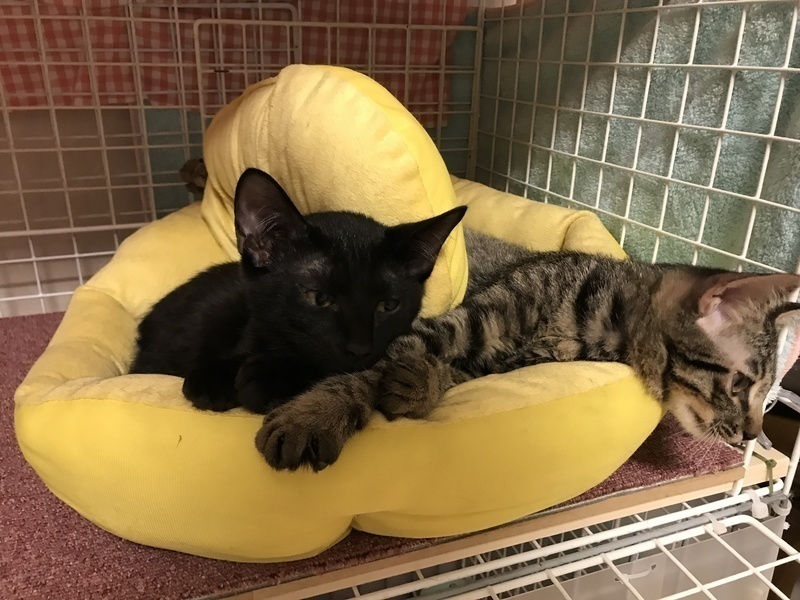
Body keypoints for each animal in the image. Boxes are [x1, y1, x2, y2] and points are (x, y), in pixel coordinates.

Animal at [254, 230, 800, 472]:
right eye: (740, 384)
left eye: (763, 394)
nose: (753, 433)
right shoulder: (465, 321)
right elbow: (370, 366)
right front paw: (314, 414)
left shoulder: (493, 361)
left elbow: (437, 371)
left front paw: (419, 385)